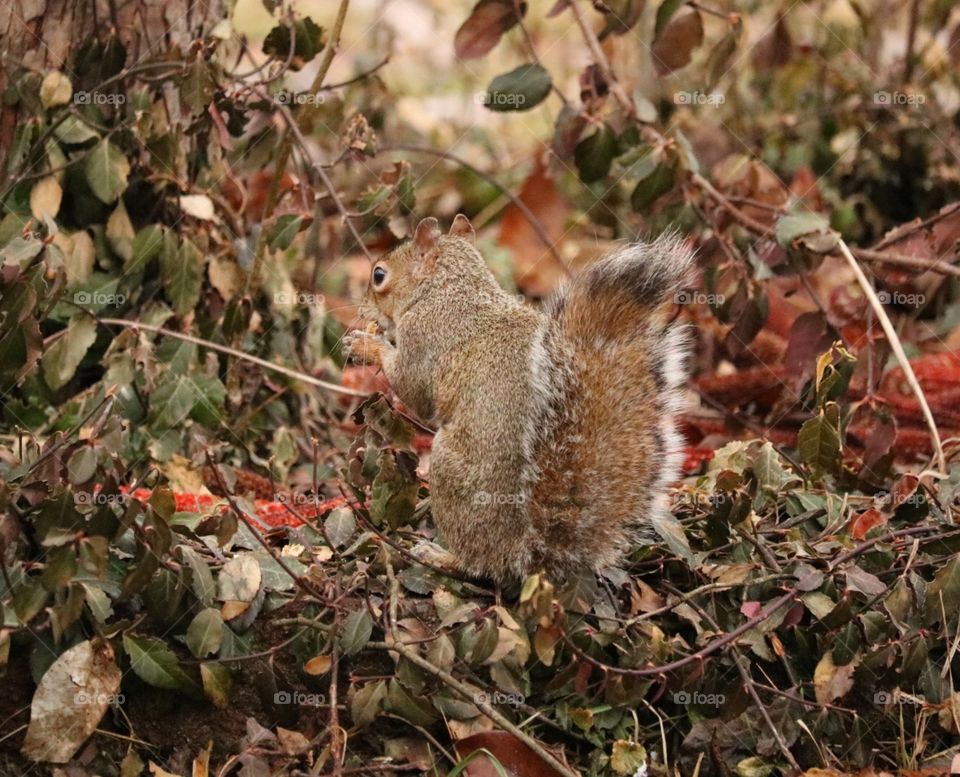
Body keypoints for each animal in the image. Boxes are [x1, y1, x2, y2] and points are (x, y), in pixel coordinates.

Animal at [342, 212, 692, 584]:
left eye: (379, 275)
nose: (362, 307)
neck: (450, 288)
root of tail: (527, 553)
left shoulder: (424, 337)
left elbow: (414, 390)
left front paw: (367, 346)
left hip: (450, 473)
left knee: (479, 563)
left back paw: (443, 556)